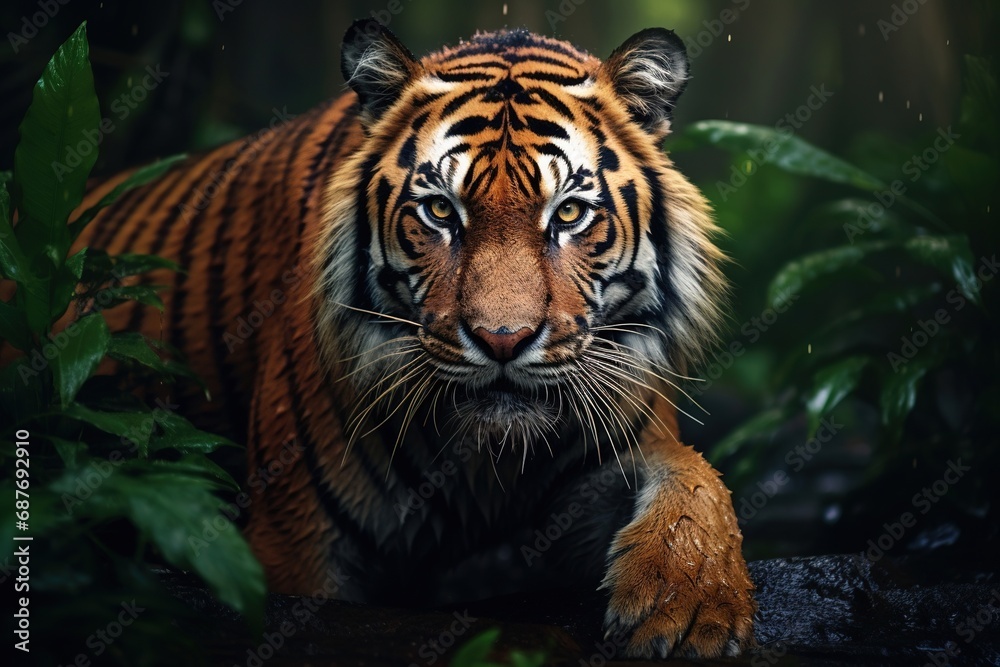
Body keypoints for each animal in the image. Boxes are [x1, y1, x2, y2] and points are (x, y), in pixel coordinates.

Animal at [69, 19, 755, 659]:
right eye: (441, 211)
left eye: (567, 213)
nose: (502, 340)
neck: (488, 461)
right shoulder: (298, 539)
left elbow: (693, 473)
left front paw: (689, 603)